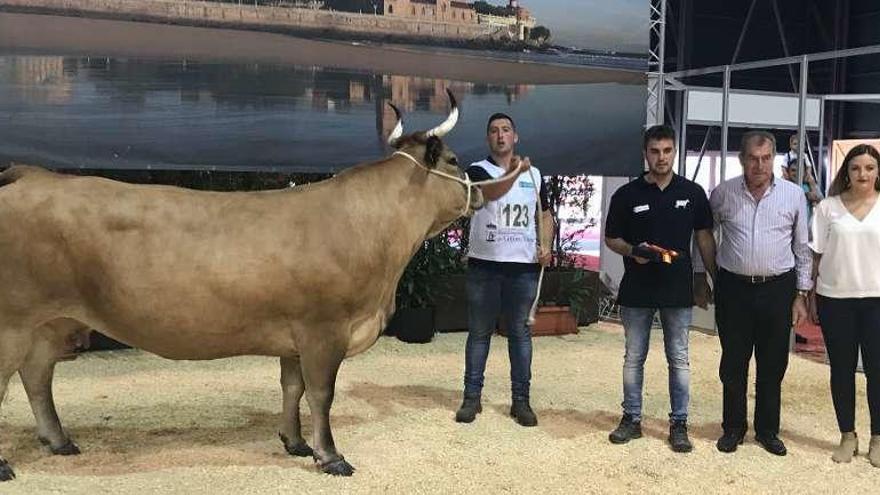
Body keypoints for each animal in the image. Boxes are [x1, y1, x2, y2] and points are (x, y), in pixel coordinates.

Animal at [0, 95, 496, 478]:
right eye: (454, 161)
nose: (479, 190)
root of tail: (34, 174)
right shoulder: (324, 329)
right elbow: (321, 393)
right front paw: (330, 457)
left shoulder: (295, 336)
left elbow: (292, 388)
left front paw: (294, 443)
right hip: (14, 321)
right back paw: (10, 464)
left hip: (52, 322)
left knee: (37, 374)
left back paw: (59, 440)